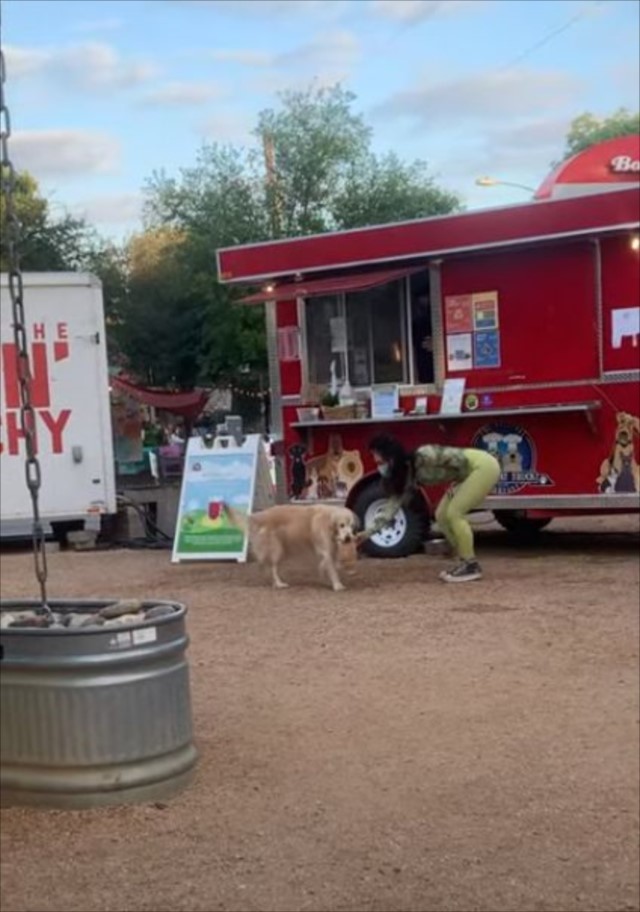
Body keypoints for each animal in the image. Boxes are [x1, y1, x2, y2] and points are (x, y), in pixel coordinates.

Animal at [225, 506, 358, 592]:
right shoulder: (326, 552)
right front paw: (337, 585)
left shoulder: (332, 551)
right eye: (342, 525)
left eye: (351, 526)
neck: (329, 521)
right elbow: (332, 570)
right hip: (276, 550)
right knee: (272, 568)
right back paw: (279, 583)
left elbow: (328, 568)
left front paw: (329, 581)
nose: (348, 538)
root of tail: (262, 514)